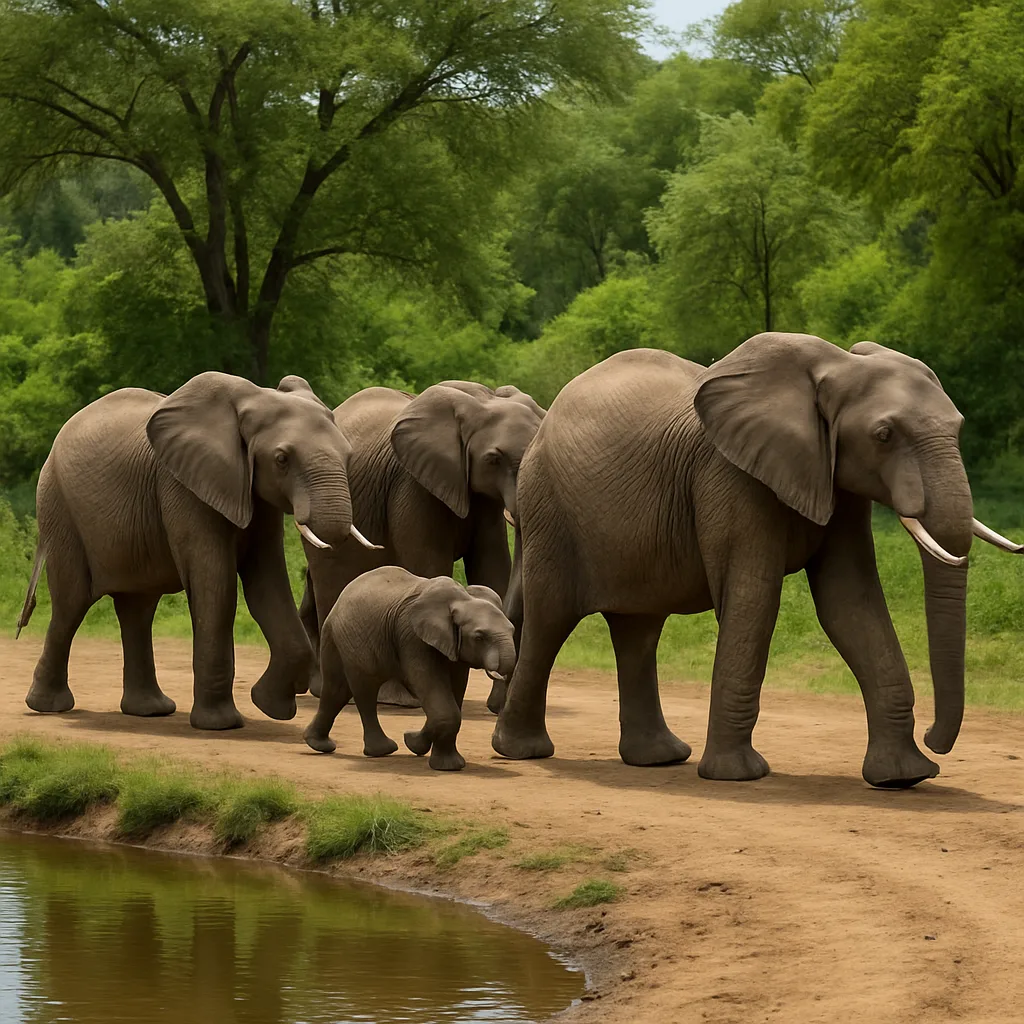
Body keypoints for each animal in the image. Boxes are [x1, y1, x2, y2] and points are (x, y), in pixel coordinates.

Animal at [16, 372, 378, 730]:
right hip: (59, 508)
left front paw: (270, 705)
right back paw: (49, 706)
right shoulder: (183, 486)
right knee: (72, 603)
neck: (253, 399)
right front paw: (221, 724)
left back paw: (151, 710)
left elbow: (267, 584)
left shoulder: (254, 493)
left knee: (137, 608)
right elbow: (216, 586)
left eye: (348, 456)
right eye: (281, 459)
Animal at [298, 380, 543, 709]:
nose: (497, 705)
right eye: (494, 459)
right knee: (333, 578)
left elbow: (491, 568)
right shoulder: (412, 484)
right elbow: (430, 564)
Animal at [303, 567, 516, 771]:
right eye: (479, 637)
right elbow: (437, 696)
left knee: (336, 690)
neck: (462, 599)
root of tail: (341, 597)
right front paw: (447, 767)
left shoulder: (456, 649)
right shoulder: (412, 637)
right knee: (364, 690)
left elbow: (454, 694)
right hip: (351, 638)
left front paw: (415, 744)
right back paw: (382, 751)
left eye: (513, 630)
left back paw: (318, 744)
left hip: (338, 637)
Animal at [491, 333, 1022, 788]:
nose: (937, 740)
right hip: (549, 510)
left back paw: (659, 758)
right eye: (884, 434)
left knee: (637, 629)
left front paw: (903, 778)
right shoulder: (730, 475)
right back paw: (521, 751)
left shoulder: (838, 482)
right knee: (551, 619)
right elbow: (754, 599)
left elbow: (851, 605)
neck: (835, 366)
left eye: (958, 428)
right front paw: (738, 776)